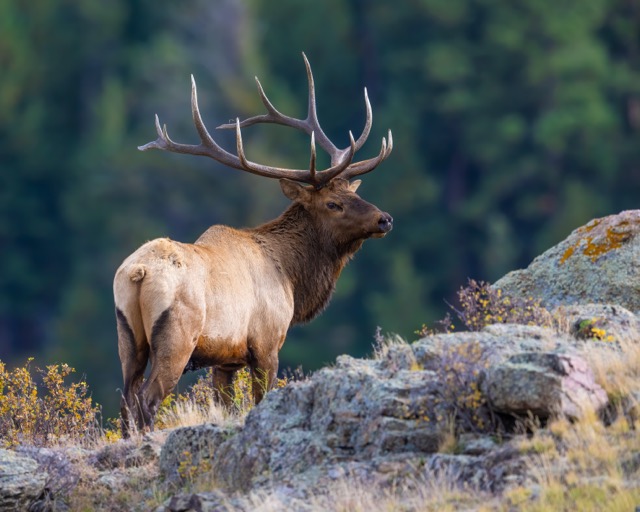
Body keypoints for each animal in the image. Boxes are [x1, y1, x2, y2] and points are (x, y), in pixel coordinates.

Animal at [114, 53, 393, 436]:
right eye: (333, 204)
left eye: (354, 193)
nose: (385, 219)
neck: (291, 275)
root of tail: (139, 273)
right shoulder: (266, 343)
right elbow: (260, 399)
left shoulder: (225, 361)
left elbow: (226, 405)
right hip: (177, 337)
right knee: (147, 399)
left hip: (127, 337)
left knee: (126, 399)